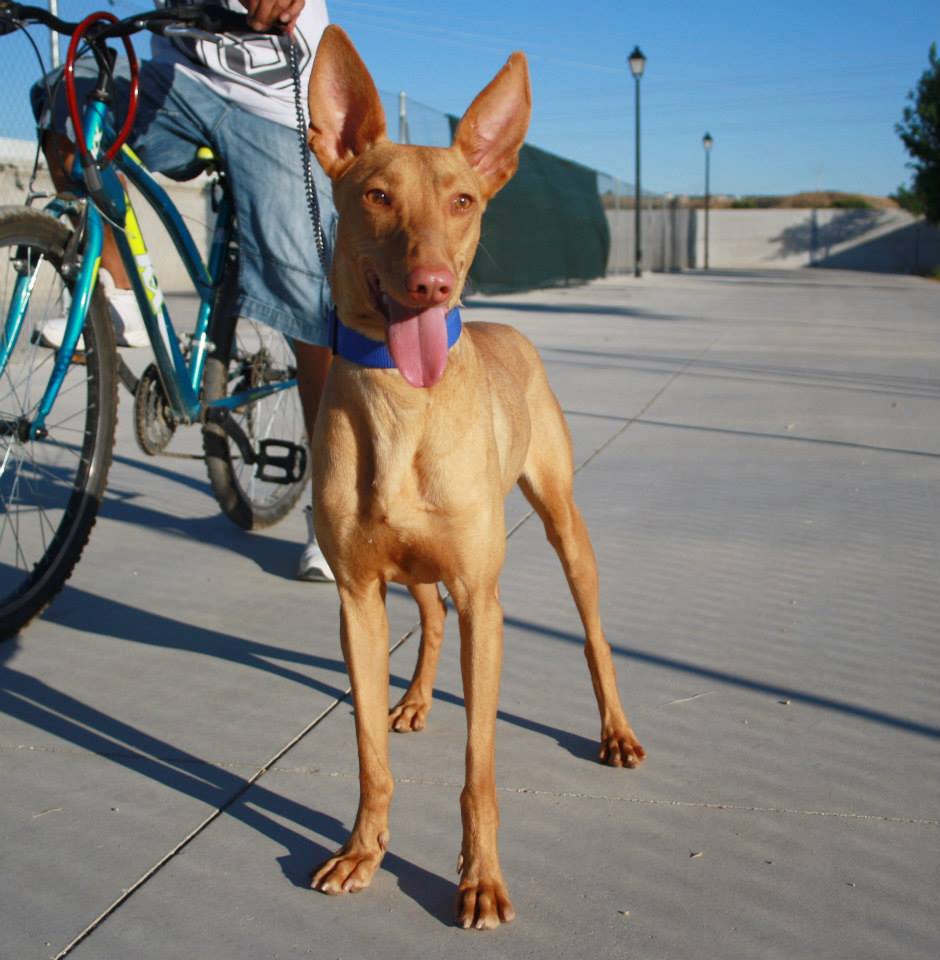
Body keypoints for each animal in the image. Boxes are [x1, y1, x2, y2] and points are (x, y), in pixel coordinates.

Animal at [304, 26, 644, 928]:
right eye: (376, 195)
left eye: (461, 200)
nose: (432, 286)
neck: (400, 403)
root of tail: (504, 327)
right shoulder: (357, 599)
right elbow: (368, 753)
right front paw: (363, 849)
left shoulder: (484, 599)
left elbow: (480, 768)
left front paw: (481, 879)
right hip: (416, 575)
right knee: (428, 619)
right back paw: (419, 698)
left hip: (566, 528)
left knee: (594, 636)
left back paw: (615, 731)